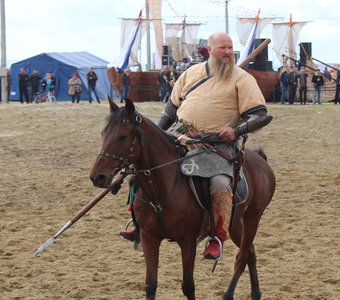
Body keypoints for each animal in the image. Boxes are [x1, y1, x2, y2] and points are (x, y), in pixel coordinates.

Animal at [90, 99, 276, 300]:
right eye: (103, 134)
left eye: (122, 137)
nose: (97, 177)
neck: (163, 188)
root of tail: (259, 158)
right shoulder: (149, 237)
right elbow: (150, 284)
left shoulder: (187, 241)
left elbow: (188, 286)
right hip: (235, 222)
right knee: (250, 252)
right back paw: (255, 293)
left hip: (252, 217)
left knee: (241, 257)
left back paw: (228, 293)